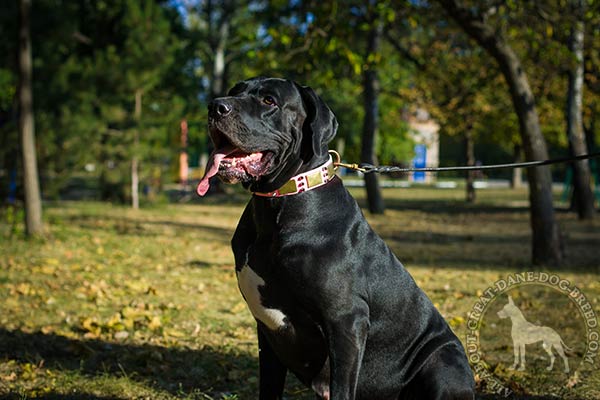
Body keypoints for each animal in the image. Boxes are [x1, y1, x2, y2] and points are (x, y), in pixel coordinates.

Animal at [197, 76, 474, 398]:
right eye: (235, 91)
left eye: (269, 101)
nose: (216, 106)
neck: (280, 201)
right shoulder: (267, 331)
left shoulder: (346, 321)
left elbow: (342, 387)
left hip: (443, 360)